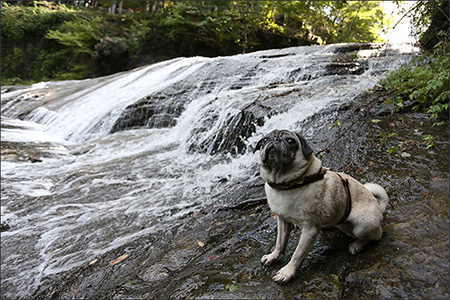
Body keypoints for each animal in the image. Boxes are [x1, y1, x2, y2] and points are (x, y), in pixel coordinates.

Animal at [255, 129, 388, 284]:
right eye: (264, 140)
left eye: (290, 141)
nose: (274, 140)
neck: (289, 184)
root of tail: (379, 207)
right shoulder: (283, 220)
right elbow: (280, 242)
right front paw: (273, 256)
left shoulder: (309, 230)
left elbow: (297, 253)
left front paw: (287, 272)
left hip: (362, 224)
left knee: (375, 235)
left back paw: (357, 245)